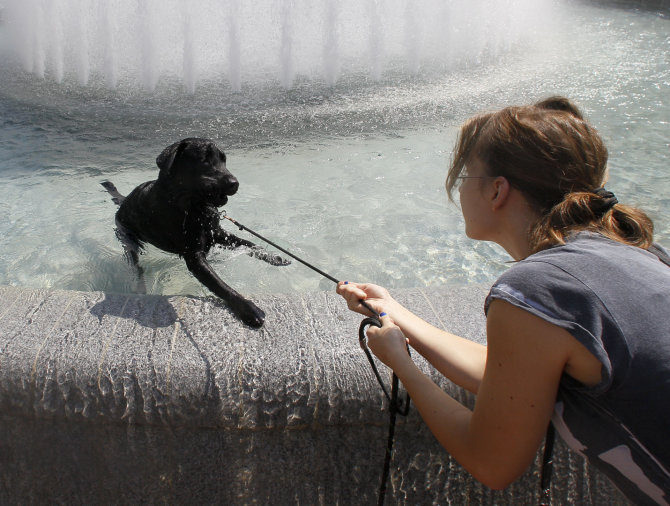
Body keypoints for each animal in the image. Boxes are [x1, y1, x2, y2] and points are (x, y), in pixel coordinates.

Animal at [101, 138, 288, 328]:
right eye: (204, 160)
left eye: (224, 160)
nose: (235, 183)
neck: (193, 208)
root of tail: (124, 200)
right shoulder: (194, 257)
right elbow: (220, 285)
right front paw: (248, 308)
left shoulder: (218, 234)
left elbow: (249, 243)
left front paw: (273, 256)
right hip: (127, 237)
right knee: (136, 265)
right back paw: (140, 287)